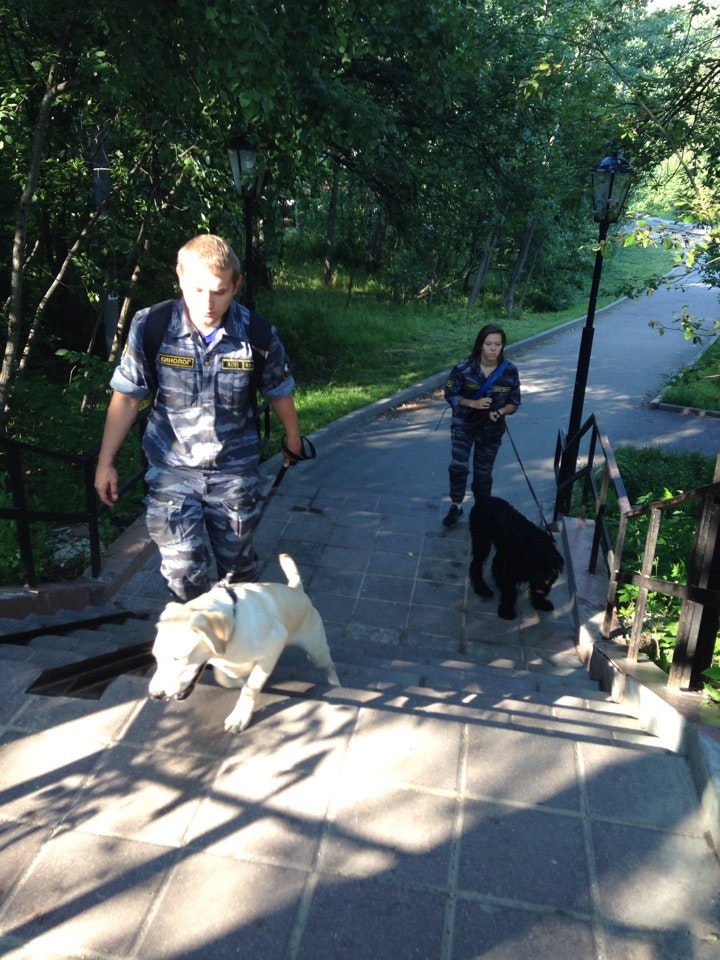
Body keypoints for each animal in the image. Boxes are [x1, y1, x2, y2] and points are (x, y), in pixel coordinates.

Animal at [148, 553, 340, 733]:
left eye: (179, 657)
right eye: (155, 657)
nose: (155, 695)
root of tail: (297, 589)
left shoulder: (274, 645)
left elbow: (251, 687)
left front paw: (240, 715)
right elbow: (224, 678)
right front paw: (239, 679)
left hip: (316, 652)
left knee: (330, 665)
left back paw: (335, 684)